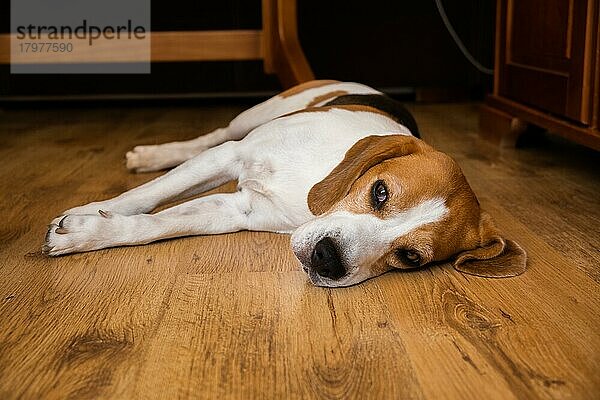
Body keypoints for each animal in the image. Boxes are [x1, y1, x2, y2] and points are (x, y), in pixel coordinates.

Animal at [43, 80, 524, 288]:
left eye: (410, 257)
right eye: (380, 191)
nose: (327, 259)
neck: (313, 188)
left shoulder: (235, 211)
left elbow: (155, 224)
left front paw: (90, 232)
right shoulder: (232, 156)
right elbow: (147, 196)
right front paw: (90, 212)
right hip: (252, 118)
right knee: (211, 136)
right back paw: (152, 156)